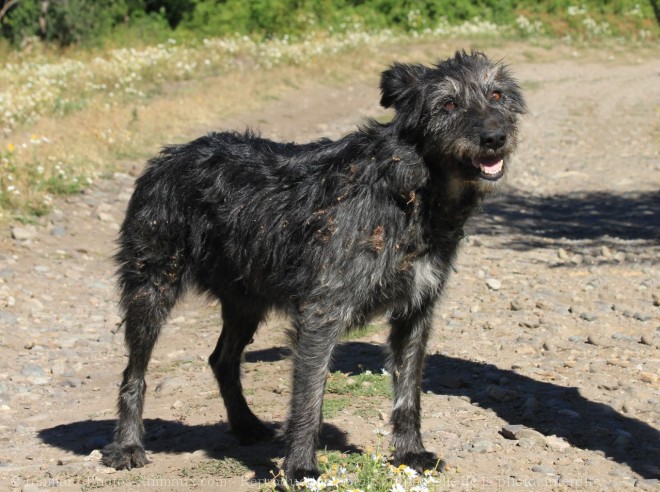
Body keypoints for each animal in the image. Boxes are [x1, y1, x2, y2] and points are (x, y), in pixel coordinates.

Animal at [102, 51, 524, 484]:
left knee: (222, 359)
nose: (494, 137)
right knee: (133, 374)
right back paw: (128, 446)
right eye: (448, 104)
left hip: (246, 301)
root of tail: (167, 157)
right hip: (152, 288)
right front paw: (301, 466)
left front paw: (411, 453)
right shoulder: (322, 311)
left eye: (496, 94)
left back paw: (245, 424)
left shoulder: (415, 313)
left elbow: (408, 393)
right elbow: (309, 396)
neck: (411, 187)